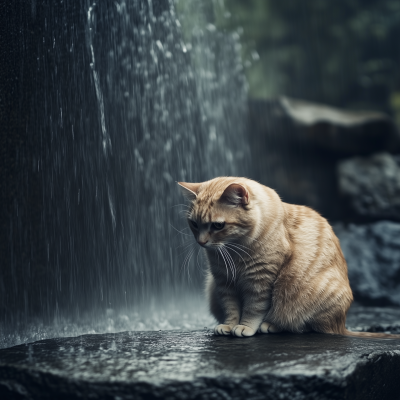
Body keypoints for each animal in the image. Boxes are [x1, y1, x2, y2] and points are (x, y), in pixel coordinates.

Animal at [179, 177, 400, 338]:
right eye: (194, 224)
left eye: (218, 226)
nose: (201, 242)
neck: (235, 251)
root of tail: (342, 325)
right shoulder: (224, 282)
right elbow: (231, 308)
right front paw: (228, 325)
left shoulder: (260, 281)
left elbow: (253, 309)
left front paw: (245, 327)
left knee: (302, 326)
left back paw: (270, 325)